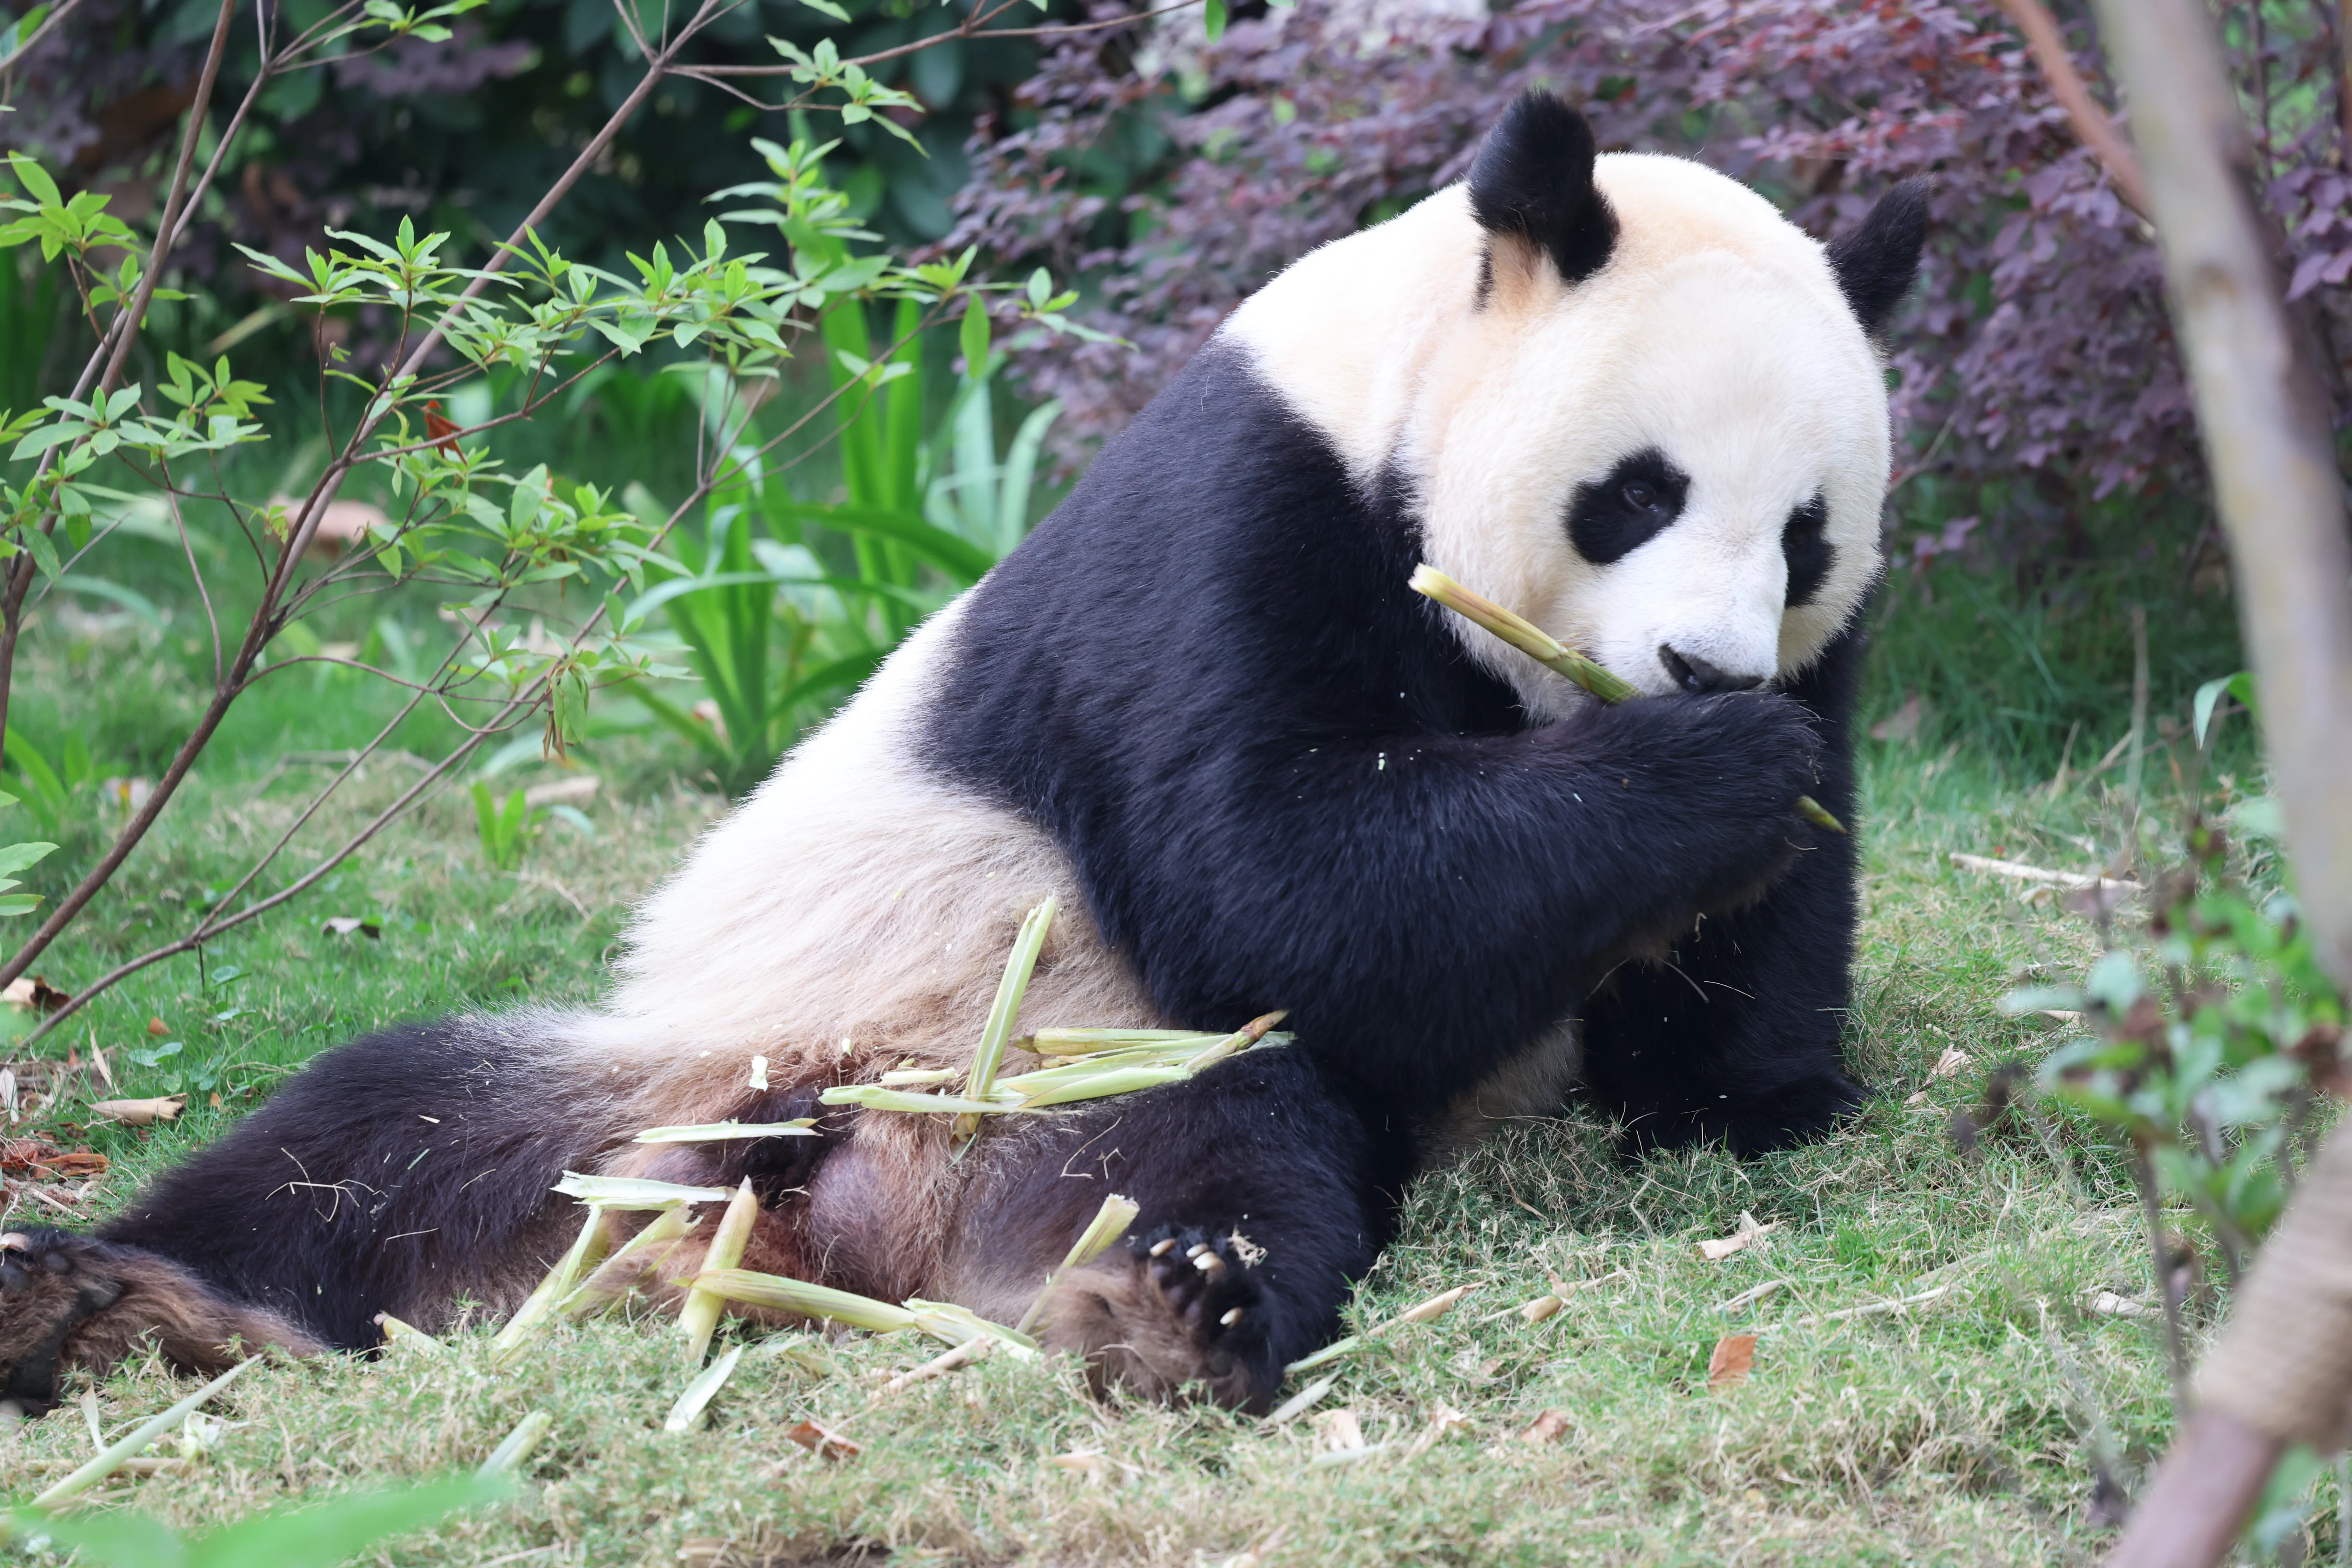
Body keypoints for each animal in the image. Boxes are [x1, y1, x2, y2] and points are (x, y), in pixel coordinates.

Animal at [0, 93, 1924, 1416]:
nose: (1698, 661)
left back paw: (1168, 1308)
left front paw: (1748, 1057)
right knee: (367, 1136)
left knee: (1220, 1160)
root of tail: (849, 1207)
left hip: (1085, 1082)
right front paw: (1707, 776)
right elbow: (1271, 877)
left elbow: (1742, 939)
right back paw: (117, 1297)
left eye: (1805, 535)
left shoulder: (1824, 653)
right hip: (694, 1058)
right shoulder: (1249, 509)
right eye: (1637, 492)